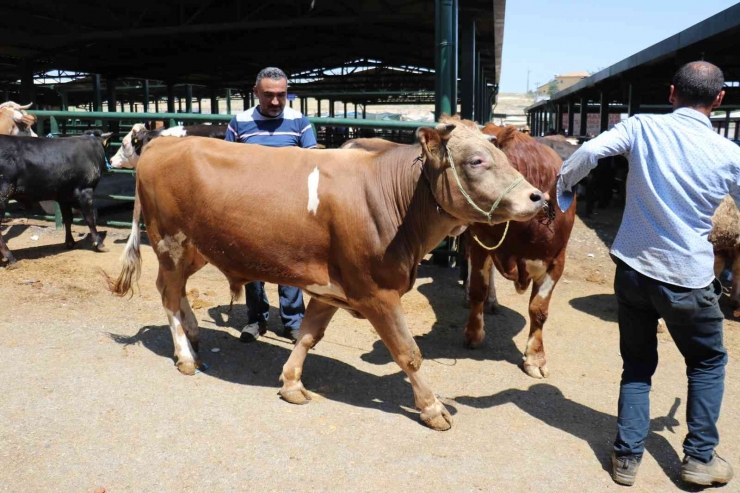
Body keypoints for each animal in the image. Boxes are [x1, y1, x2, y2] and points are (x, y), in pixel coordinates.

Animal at [0, 132, 112, 266]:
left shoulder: (64, 196)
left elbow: (68, 219)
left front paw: (70, 242)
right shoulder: (85, 190)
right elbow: (90, 219)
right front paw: (99, 244)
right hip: (2, 196)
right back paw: (11, 258)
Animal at [107, 117, 548, 428]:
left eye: (503, 157)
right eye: (476, 161)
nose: (538, 197)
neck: (393, 197)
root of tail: (163, 143)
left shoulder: (329, 287)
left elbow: (307, 336)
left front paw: (291, 383)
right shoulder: (376, 292)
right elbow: (408, 353)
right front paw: (432, 407)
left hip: (198, 246)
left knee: (175, 290)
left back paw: (195, 333)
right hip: (170, 241)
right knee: (168, 294)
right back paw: (185, 354)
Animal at [462, 123, 580, 376]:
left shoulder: (557, 260)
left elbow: (539, 309)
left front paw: (535, 358)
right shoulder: (480, 242)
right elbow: (478, 289)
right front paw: (474, 333)